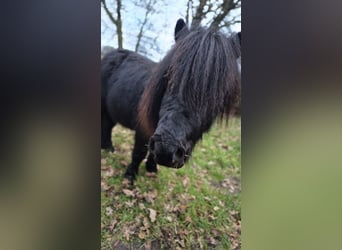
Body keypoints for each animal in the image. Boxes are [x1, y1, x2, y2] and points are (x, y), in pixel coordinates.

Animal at [101, 17, 240, 182]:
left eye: (216, 93)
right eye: (168, 77)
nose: (167, 150)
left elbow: (151, 153)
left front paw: (151, 168)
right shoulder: (142, 130)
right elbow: (139, 153)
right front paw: (130, 175)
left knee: (108, 125)